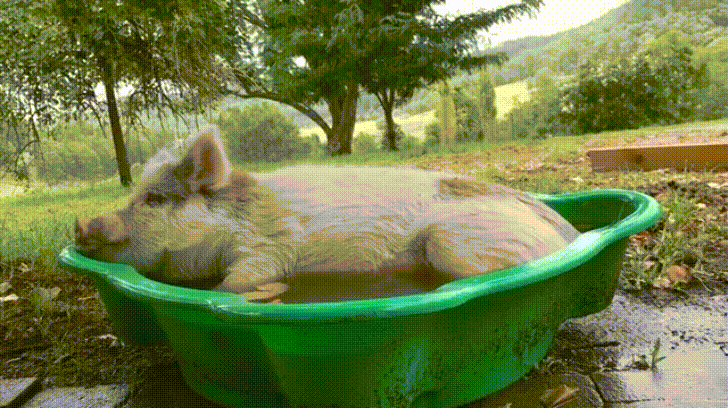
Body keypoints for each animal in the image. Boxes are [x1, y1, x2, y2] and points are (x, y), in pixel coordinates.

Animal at [75, 126, 580, 302]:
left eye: (154, 200)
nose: (80, 223)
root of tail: (569, 234)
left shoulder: (267, 251)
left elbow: (232, 287)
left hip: (456, 243)